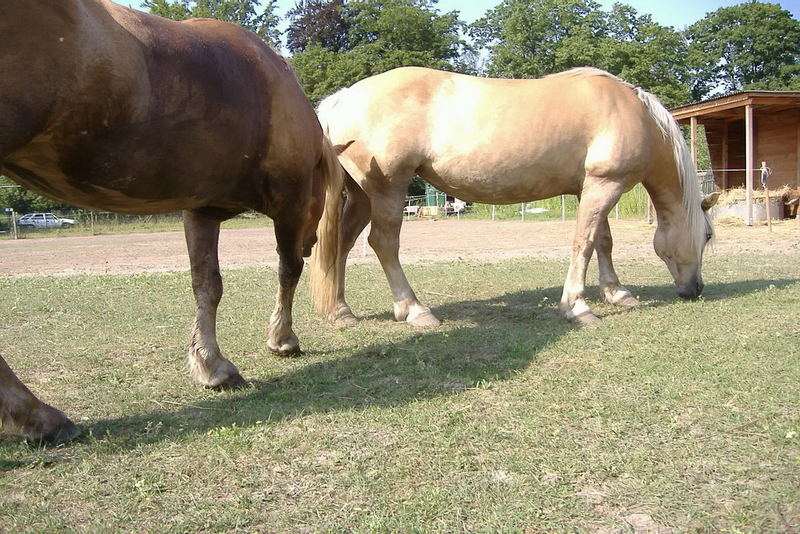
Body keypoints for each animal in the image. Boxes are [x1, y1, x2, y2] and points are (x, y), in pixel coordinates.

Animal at [0, 0, 340, 444]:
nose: (312, 241)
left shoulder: (202, 212)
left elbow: (207, 286)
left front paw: (212, 366)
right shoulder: (290, 204)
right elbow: (288, 271)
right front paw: (282, 340)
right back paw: (37, 416)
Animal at [310, 66, 720, 326]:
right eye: (708, 235)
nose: (695, 289)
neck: (634, 114)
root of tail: (343, 97)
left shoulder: (592, 187)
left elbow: (603, 241)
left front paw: (617, 293)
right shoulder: (605, 185)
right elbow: (584, 243)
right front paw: (577, 307)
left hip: (362, 196)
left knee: (342, 243)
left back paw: (340, 312)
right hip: (387, 188)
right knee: (383, 243)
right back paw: (413, 310)